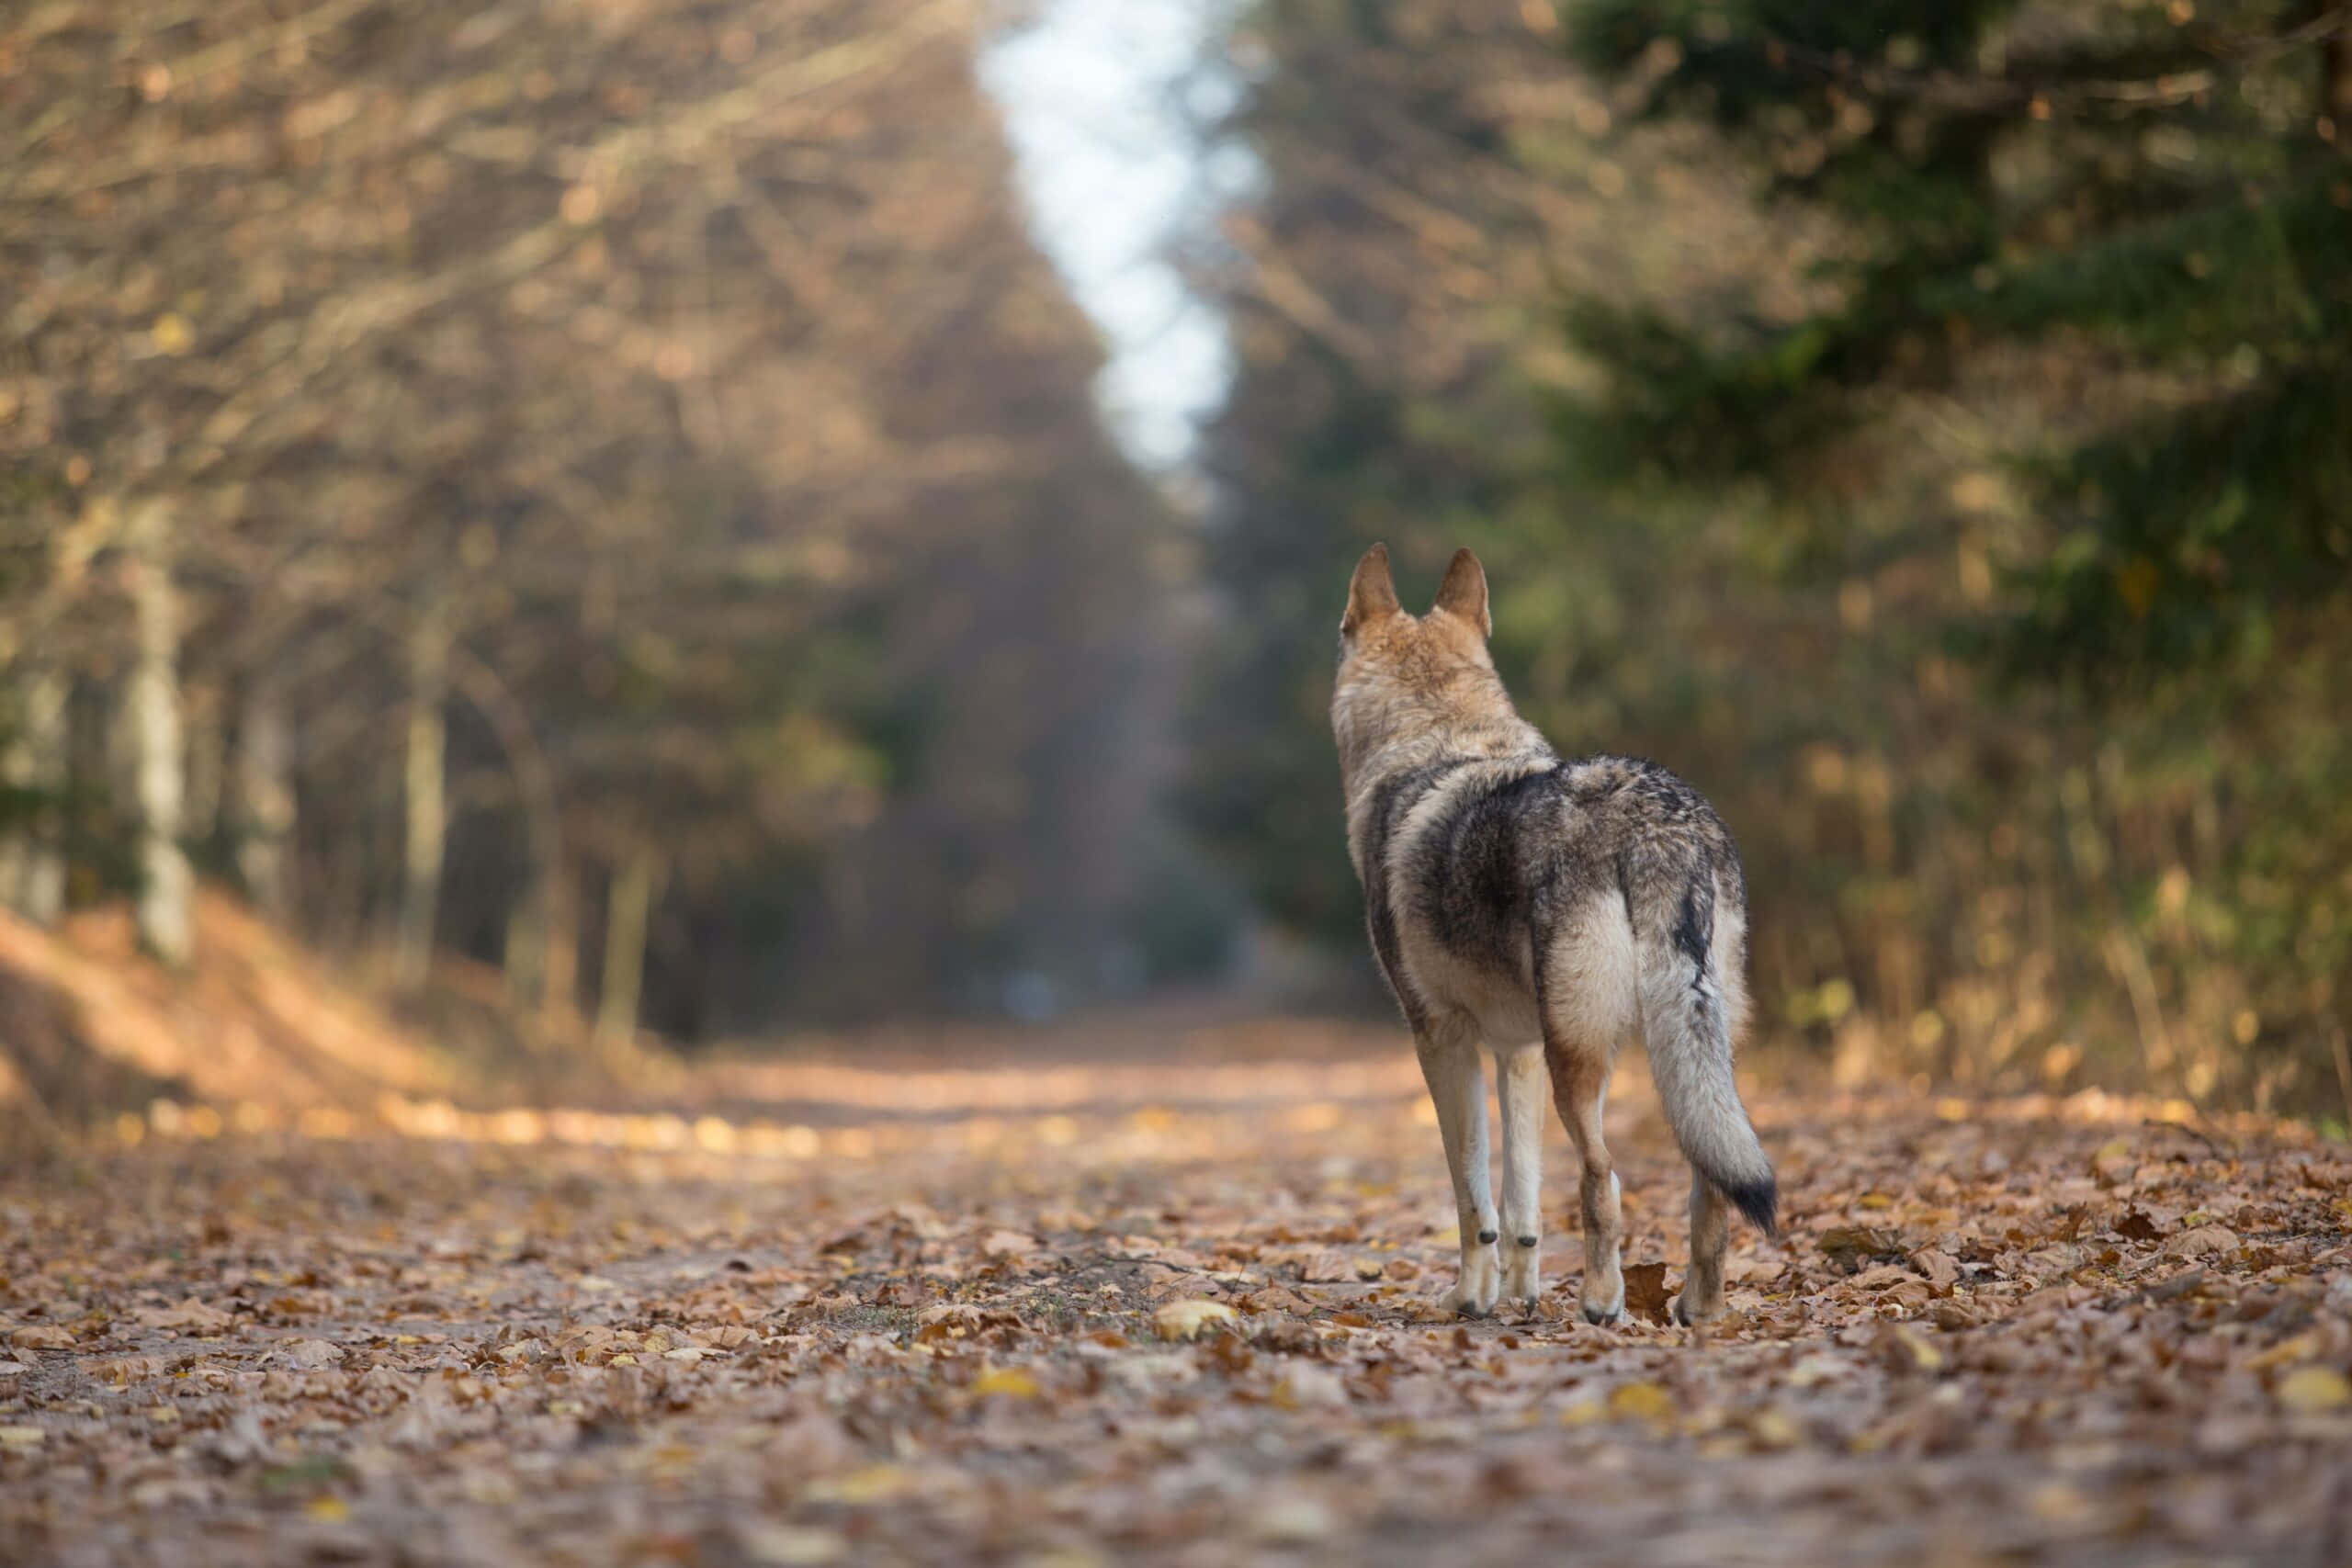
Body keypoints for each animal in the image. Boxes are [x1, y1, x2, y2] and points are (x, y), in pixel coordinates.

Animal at [1332, 544, 1776, 1323]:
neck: (1432, 743)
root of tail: (1660, 821)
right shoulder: (1519, 1049)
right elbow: (1521, 1202)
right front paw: (1521, 1290)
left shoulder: (1442, 1039)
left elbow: (1472, 1193)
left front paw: (1473, 1297)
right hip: (1697, 1055)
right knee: (1714, 1179)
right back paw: (1698, 1307)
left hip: (1584, 1056)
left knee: (1604, 1179)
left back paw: (1602, 1300)